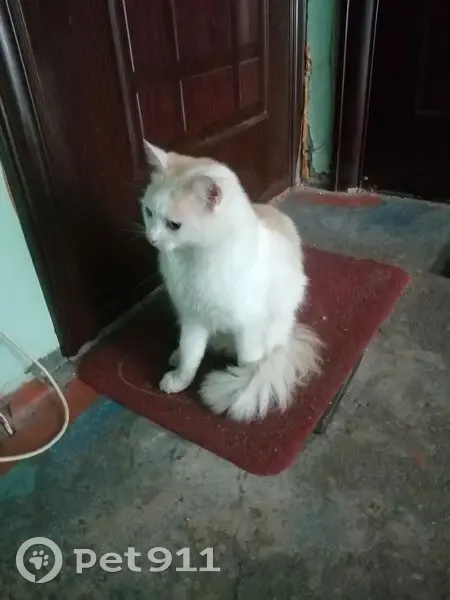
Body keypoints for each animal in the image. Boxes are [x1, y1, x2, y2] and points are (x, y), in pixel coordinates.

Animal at [140, 140, 321, 422]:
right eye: (148, 212)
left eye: (173, 225)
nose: (151, 238)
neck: (194, 259)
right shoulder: (193, 319)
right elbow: (190, 359)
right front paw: (179, 379)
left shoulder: (249, 326)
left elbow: (249, 364)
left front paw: (242, 384)